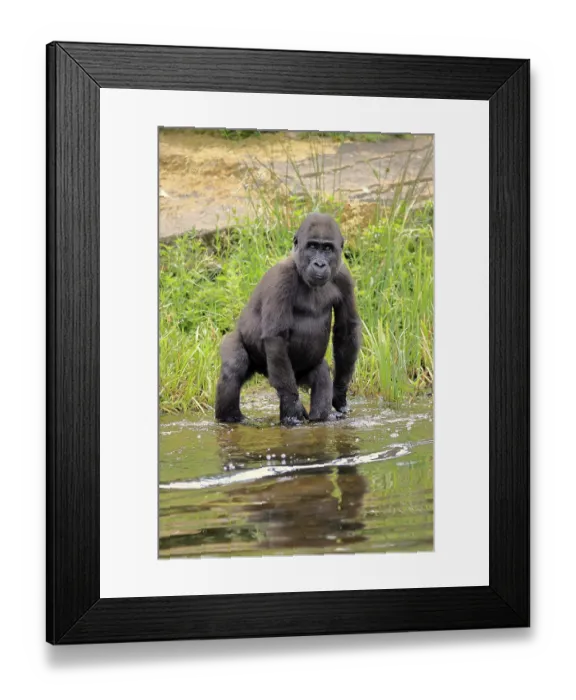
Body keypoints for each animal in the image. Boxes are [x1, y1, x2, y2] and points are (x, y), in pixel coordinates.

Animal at [214, 212, 361, 425]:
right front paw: (292, 407)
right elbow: (276, 336)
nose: (319, 264)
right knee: (234, 367)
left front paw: (340, 393)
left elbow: (346, 329)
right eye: (312, 246)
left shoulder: (344, 277)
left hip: (294, 375)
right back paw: (231, 418)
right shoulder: (281, 278)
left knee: (319, 376)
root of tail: (264, 371)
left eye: (327, 248)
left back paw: (318, 416)